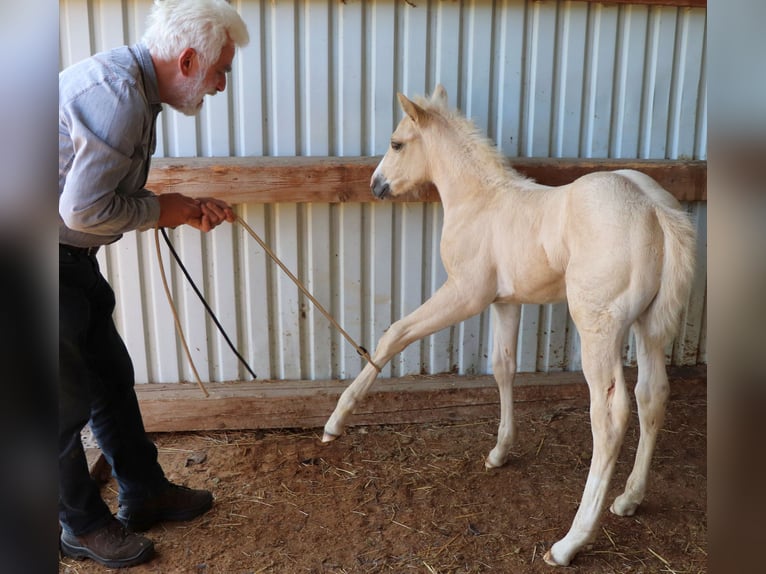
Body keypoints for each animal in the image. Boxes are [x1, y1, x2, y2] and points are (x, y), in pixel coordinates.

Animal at [320, 85, 700, 568]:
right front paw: (500, 452)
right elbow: (503, 368)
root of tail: (655, 210)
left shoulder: (466, 293)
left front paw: (335, 422)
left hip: (598, 327)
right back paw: (629, 499)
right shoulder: (506, 302)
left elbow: (395, 334)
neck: (479, 200)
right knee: (652, 396)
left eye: (396, 143)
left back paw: (569, 543)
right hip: (649, 327)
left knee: (610, 416)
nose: (377, 185)